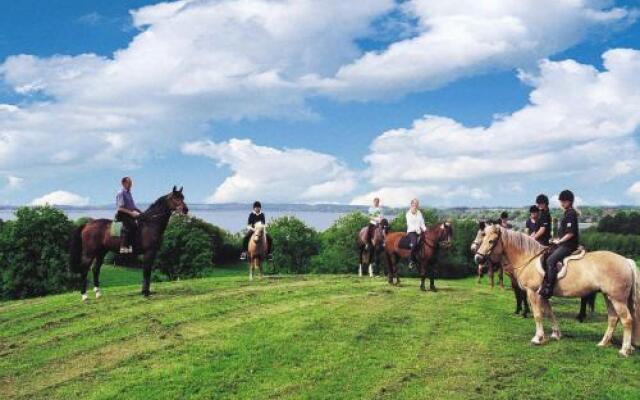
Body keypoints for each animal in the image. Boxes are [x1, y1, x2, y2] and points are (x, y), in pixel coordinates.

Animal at [472, 223, 636, 358]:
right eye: (483, 237)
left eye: (491, 241)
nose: (478, 258)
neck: (528, 258)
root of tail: (626, 261)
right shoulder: (543, 294)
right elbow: (550, 313)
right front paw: (556, 334)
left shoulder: (532, 292)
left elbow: (538, 315)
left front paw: (538, 338)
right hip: (609, 297)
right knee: (613, 318)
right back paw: (604, 343)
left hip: (617, 299)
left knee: (627, 320)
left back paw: (624, 350)